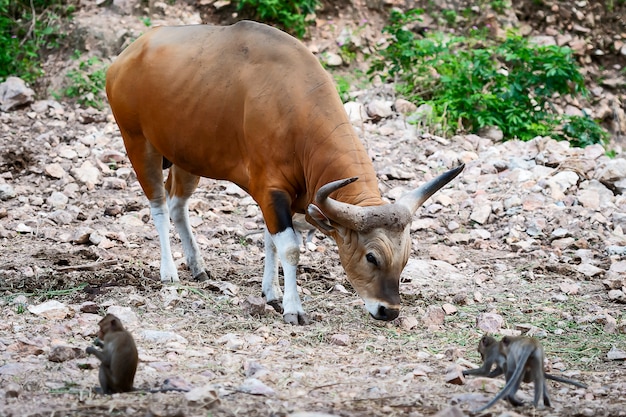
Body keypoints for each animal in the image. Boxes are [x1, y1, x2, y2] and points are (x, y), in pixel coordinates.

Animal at [106, 20, 458, 324]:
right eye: (371, 257)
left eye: (406, 256)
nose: (389, 311)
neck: (291, 108)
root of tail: (122, 59)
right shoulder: (271, 191)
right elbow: (289, 247)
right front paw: (293, 307)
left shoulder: (278, 196)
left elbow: (270, 242)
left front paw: (271, 292)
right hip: (138, 144)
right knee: (159, 206)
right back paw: (169, 271)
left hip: (186, 156)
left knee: (178, 204)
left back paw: (197, 265)